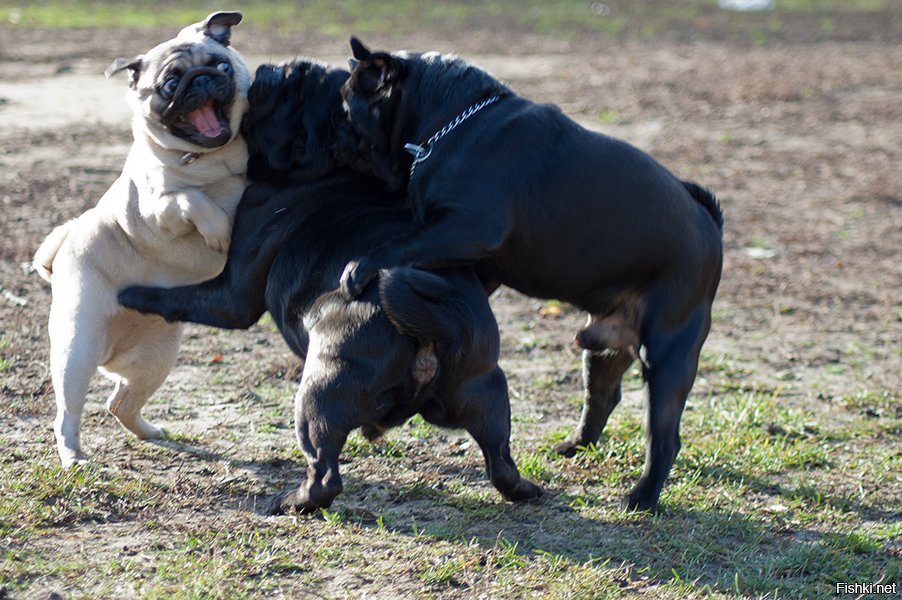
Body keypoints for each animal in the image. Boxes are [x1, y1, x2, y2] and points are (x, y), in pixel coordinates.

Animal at [116, 59, 540, 510]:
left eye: (291, 95)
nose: (280, 67)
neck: (333, 173)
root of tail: (434, 332)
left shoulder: (231, 295)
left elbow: (180, 296)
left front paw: (134, 294)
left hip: (318, 395)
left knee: (325, 472)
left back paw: (292, 502)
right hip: (487, 388)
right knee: (500, 457)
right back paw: (527, 491)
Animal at [340, 38, 728, 510]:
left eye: (347, 104)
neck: (451, 121)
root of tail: (710, 225)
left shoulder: (467, 227)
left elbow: (401, 243)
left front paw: (360, 266)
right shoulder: (475, 258)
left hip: (669, 352)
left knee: (665, 436)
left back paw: (642, 497)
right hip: (603, 348)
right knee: (603, 397)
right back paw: (574, 446)